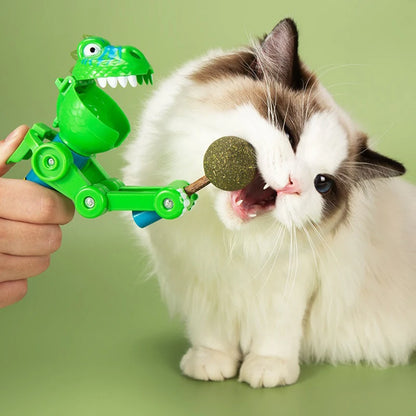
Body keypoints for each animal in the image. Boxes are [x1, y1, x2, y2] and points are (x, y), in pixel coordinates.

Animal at [122, 17, 416, 388]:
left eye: (322, 184)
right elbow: (211, 334)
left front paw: (266, 371)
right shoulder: (200, 280)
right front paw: (210, 364)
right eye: (290, 135)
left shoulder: (291, 288)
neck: (228, 241)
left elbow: (276, 336)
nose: (292, 184)